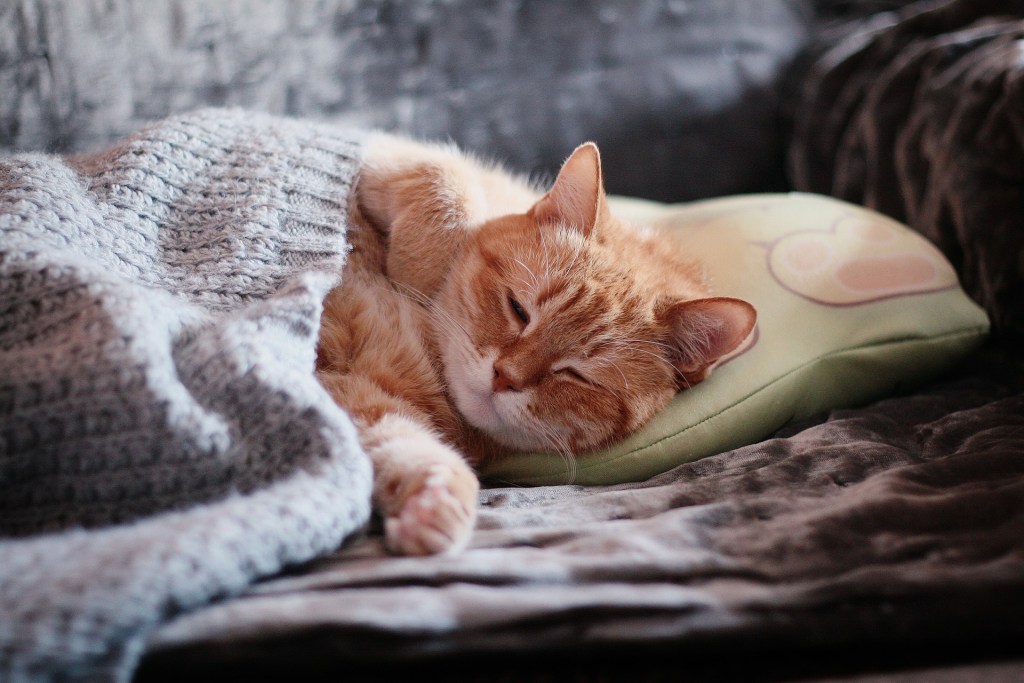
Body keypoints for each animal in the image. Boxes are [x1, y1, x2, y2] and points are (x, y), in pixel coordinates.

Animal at [315, 136, 757, 557]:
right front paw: (422, 269)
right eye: (518, 310)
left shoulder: (362, 397)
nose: (503, 377)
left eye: (577, 375)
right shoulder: (380, 149)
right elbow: (442, 177)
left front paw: (434, 505)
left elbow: (401, 443)